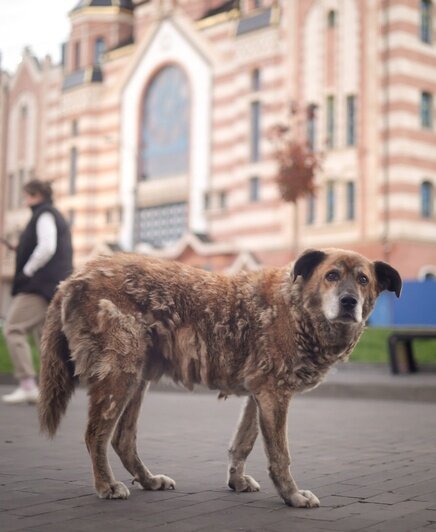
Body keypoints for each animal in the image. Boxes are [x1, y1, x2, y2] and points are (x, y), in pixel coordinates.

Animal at [37, 248, 402, 508]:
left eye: (363, 279)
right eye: (331, 275)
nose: (349, 302)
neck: (297, 307)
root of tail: (73, 279)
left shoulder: (260, 394)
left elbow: (243, 443)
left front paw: (237, 483)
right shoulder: (274, 395)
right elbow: (280, 455)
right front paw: (293, 496)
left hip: (136, 378)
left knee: (122, 440)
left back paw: (149, 480)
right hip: (119, 376)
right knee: (95, 435)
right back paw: (106, 485)